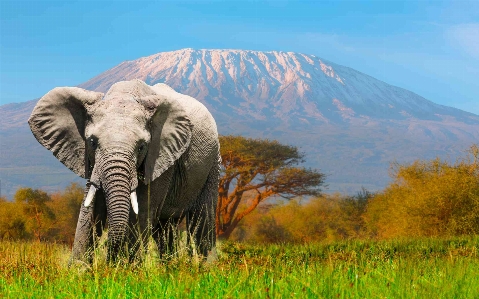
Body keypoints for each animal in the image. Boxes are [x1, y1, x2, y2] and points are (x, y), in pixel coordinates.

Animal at [28, 79, 219, 262]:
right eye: (92, 142)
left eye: (141, 147)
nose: (109, 255)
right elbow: (90, 209)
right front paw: (80, 269)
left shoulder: (160, 159)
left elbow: (142, 210)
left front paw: (128, 269)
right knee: (165, 229)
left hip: (213, 160)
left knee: (201, 220)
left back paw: (204, 267)